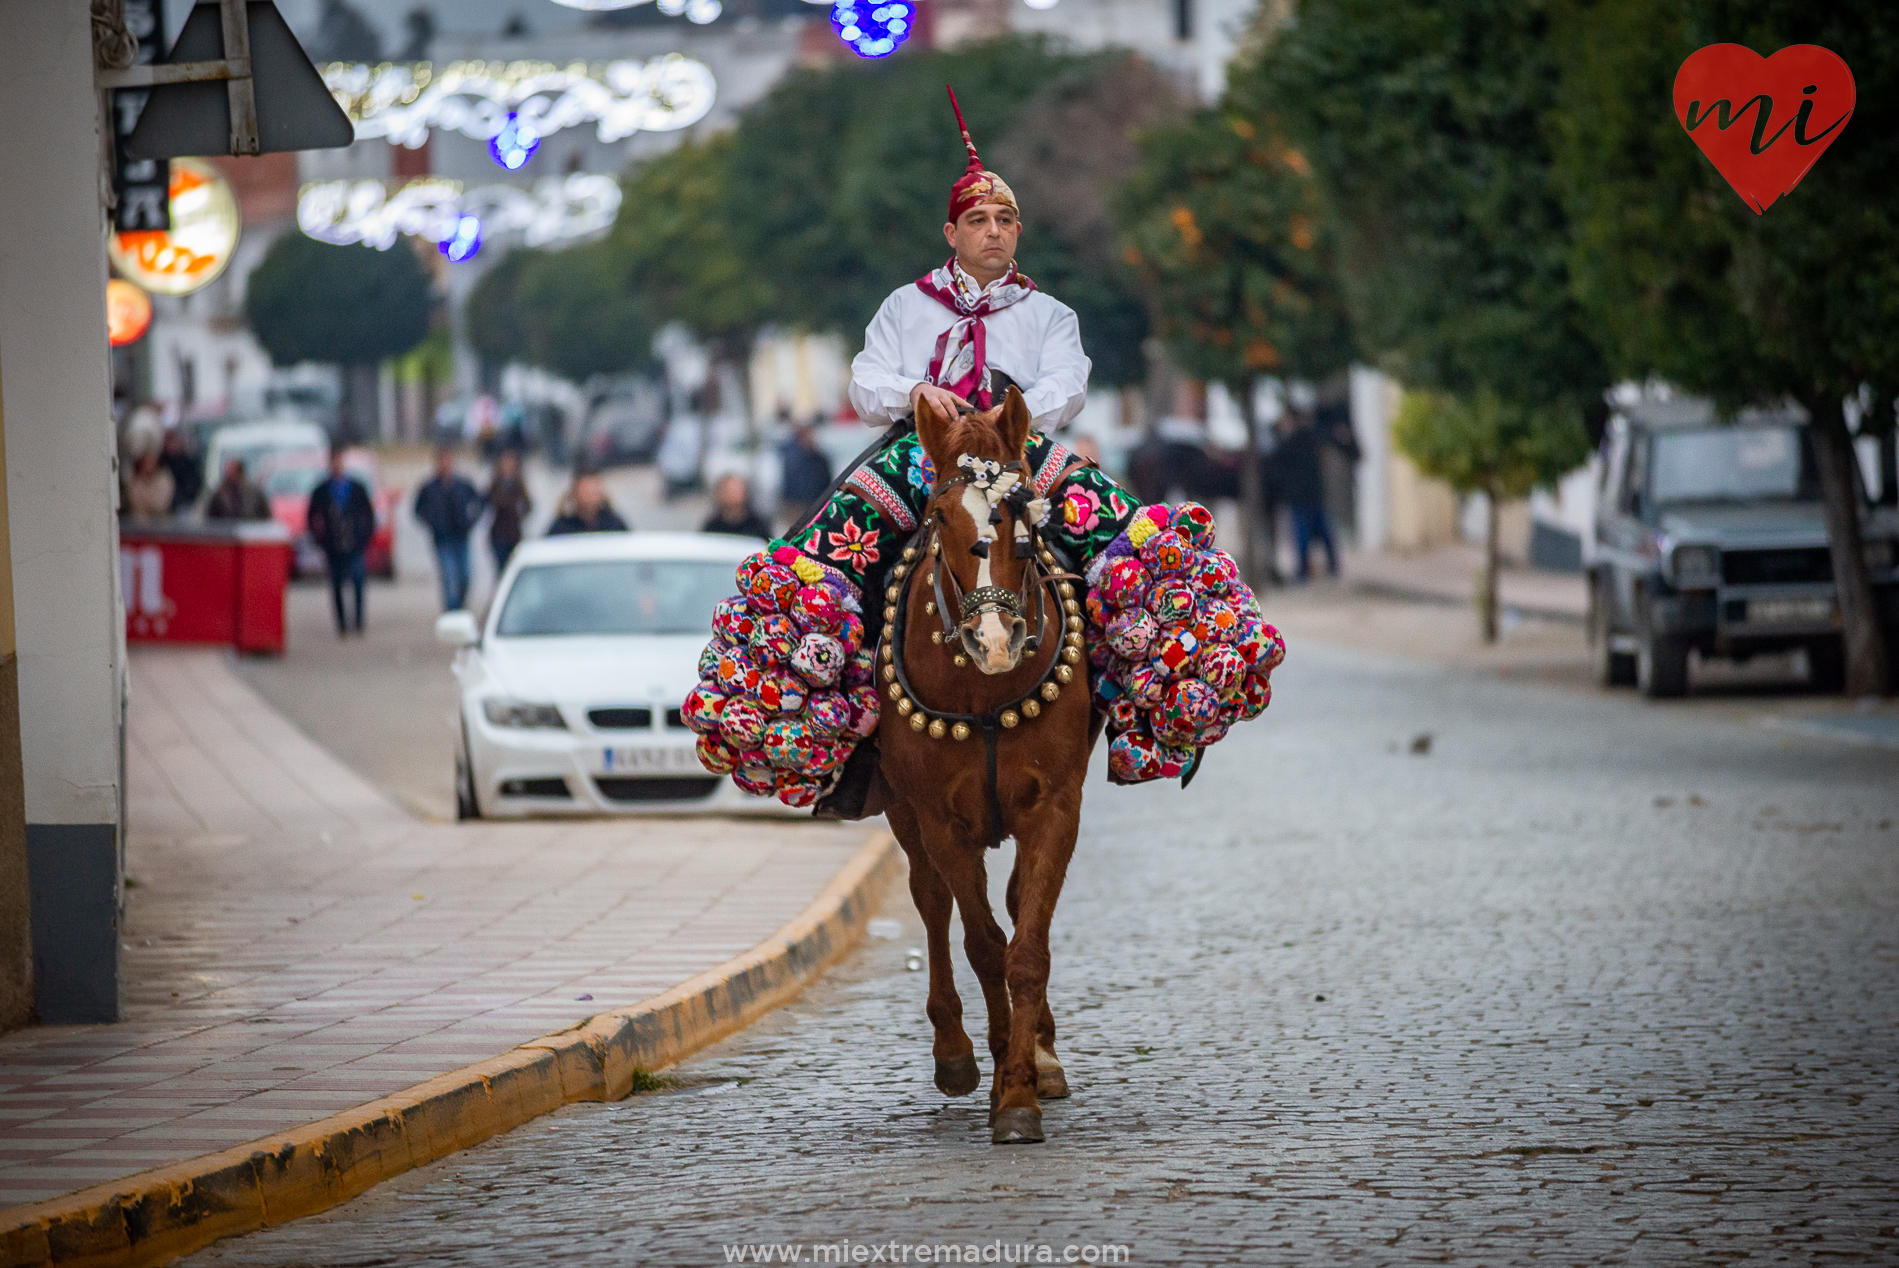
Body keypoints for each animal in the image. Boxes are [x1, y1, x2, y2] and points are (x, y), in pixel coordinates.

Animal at [869, 381, 1093, 1146]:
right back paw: (958, 1055)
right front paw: (1000, 1075)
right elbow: (983, 944)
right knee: (931, 905)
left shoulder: (1054, 807)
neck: (987, 690)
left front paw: (1023, 1086)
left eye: (1023, 505)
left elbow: (1027, 946)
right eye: (940, 515)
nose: (994, 639)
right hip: (903, 815)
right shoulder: (943, 823)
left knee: (1019, 904)